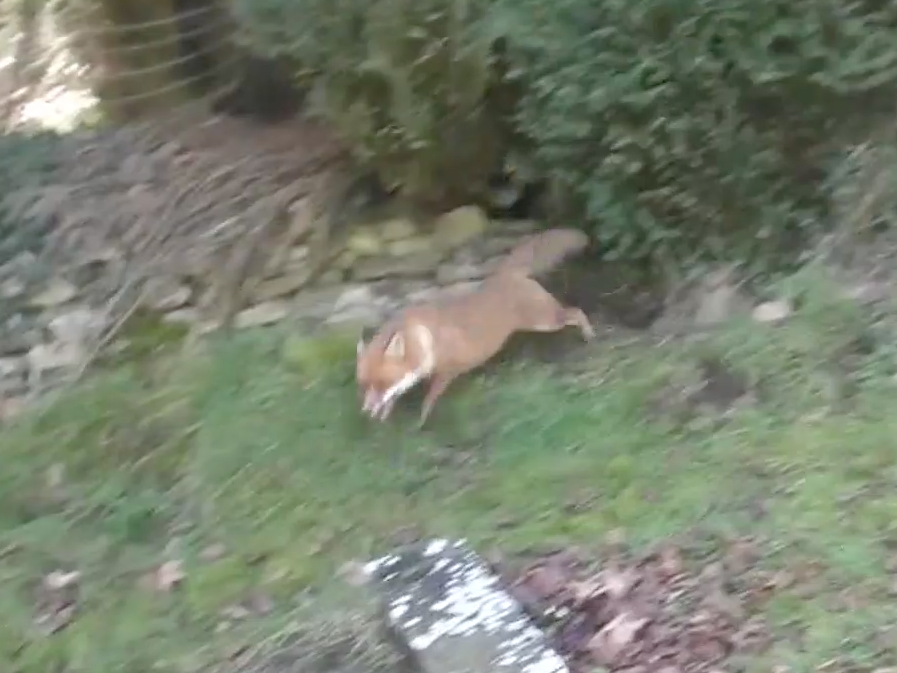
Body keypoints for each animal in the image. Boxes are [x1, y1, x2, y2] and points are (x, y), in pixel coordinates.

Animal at [356, 227, 595, 427]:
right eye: (364, 384)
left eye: (381, 382)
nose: (365, 411)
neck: (422, 339)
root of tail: (504, 273)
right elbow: (396, 395)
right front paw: (385, 414)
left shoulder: (447, 371)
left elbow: (429, 399)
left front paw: (420, 422)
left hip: (545, 321)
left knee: (576, 312)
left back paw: (589, 335)